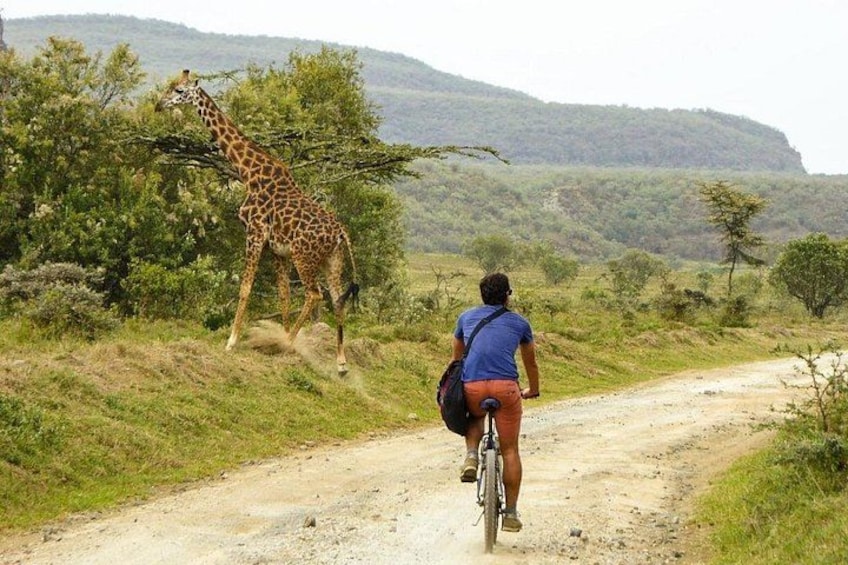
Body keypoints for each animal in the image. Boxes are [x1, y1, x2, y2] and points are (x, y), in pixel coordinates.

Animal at [156, 70, 359, 375]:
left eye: (179, 91)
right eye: (170, 86)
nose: (159, 105)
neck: (249, 172)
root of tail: (341, 232)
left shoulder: (255, 232)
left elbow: (245, 287)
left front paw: (233, 341)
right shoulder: (276, 248)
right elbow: (283, 294)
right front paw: (278, 333)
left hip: (304, 256)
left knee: (314, 294)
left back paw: (289, 343)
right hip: (332, 260)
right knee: (336, 298)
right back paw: (341, 362)